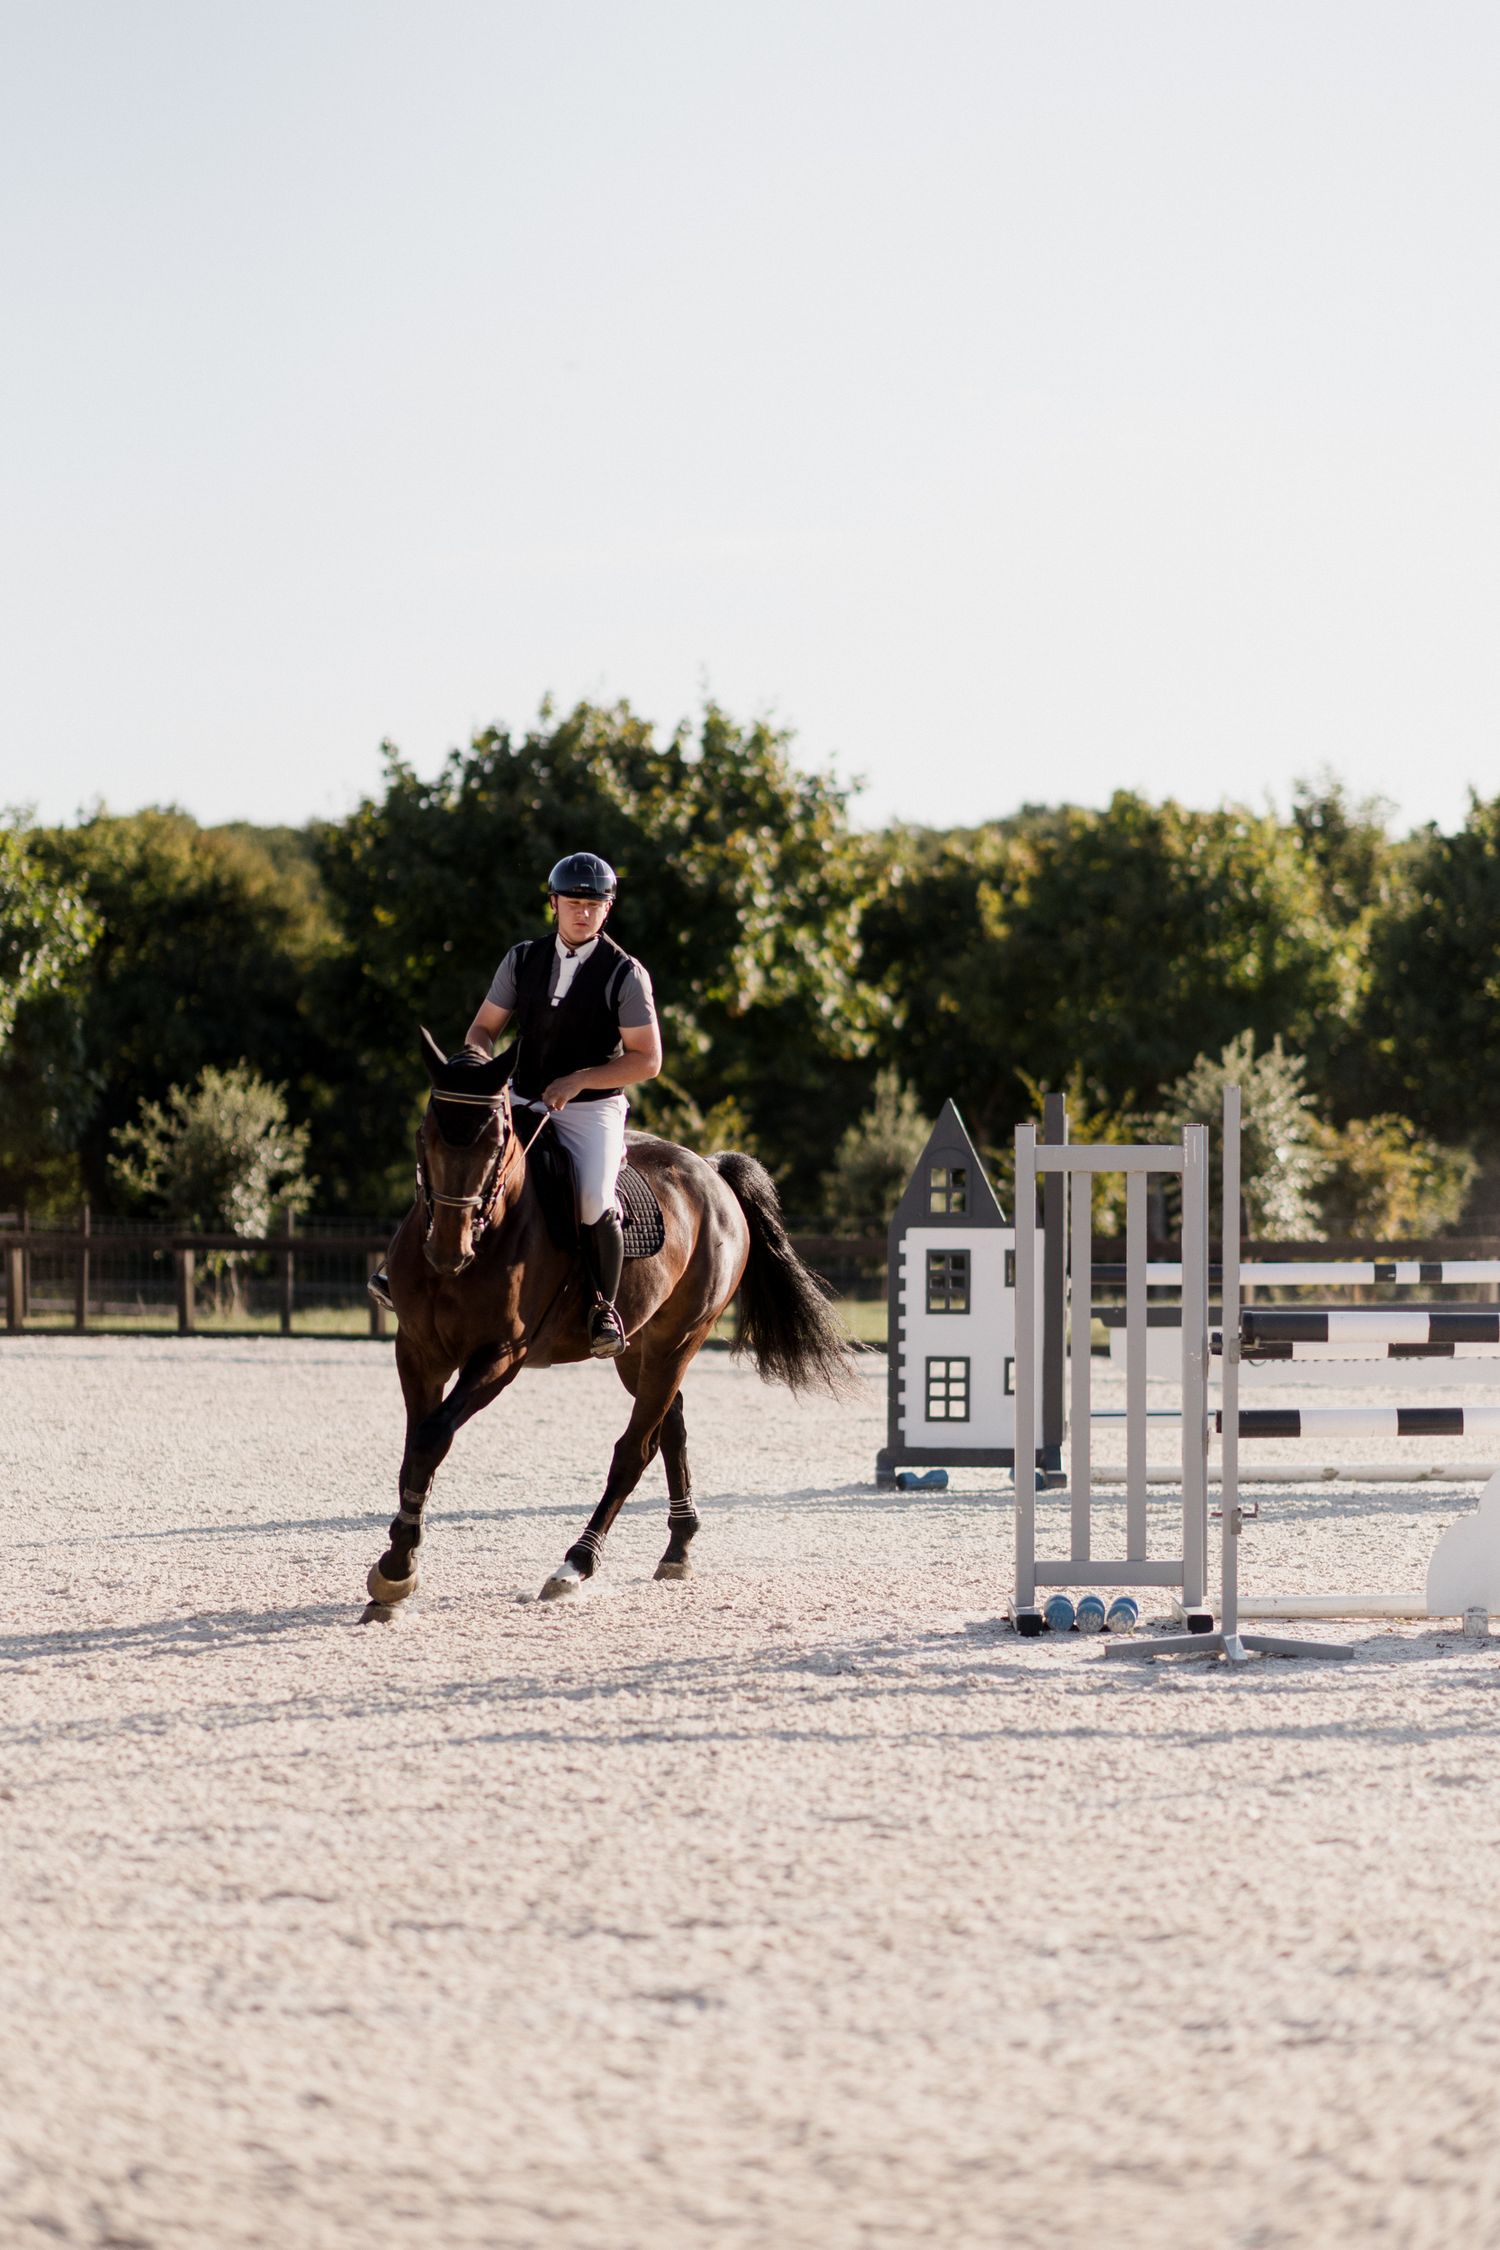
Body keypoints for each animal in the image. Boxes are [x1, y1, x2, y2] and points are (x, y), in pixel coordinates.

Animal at [365, 1029, 855, 1611]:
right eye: (427, 1133)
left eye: (498, 1139)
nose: (448, 1249)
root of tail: (711, 1171)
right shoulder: (417, 1349)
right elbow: (415, 1446)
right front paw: (400, 1560)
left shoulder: (500, 1357)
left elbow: (432, 1437)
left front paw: (396, 1568)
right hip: (637, 1350)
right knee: (671, 1425)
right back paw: (678, 1548)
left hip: (677, 1341)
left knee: (635, 1450)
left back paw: (577, 1563)